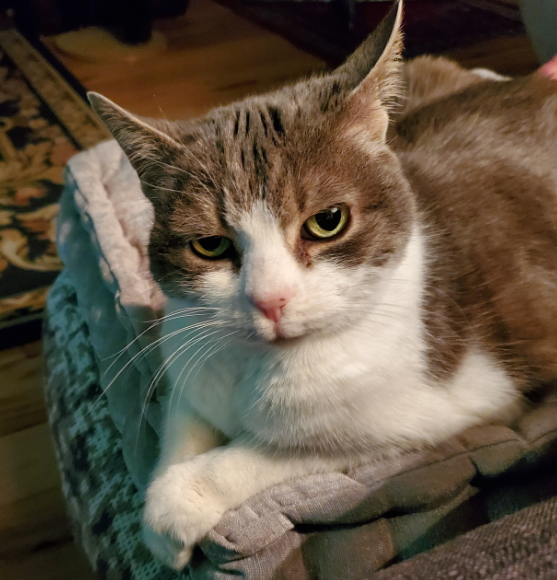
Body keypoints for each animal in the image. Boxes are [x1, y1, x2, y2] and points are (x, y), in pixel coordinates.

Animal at [87, 0, 556, 572]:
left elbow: (283, 450)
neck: (261, 363)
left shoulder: (449, 406)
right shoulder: (189, 352)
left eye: (328, 221)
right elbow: (184, 420)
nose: (270, 300)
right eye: (211, 246)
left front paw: (181, 500)